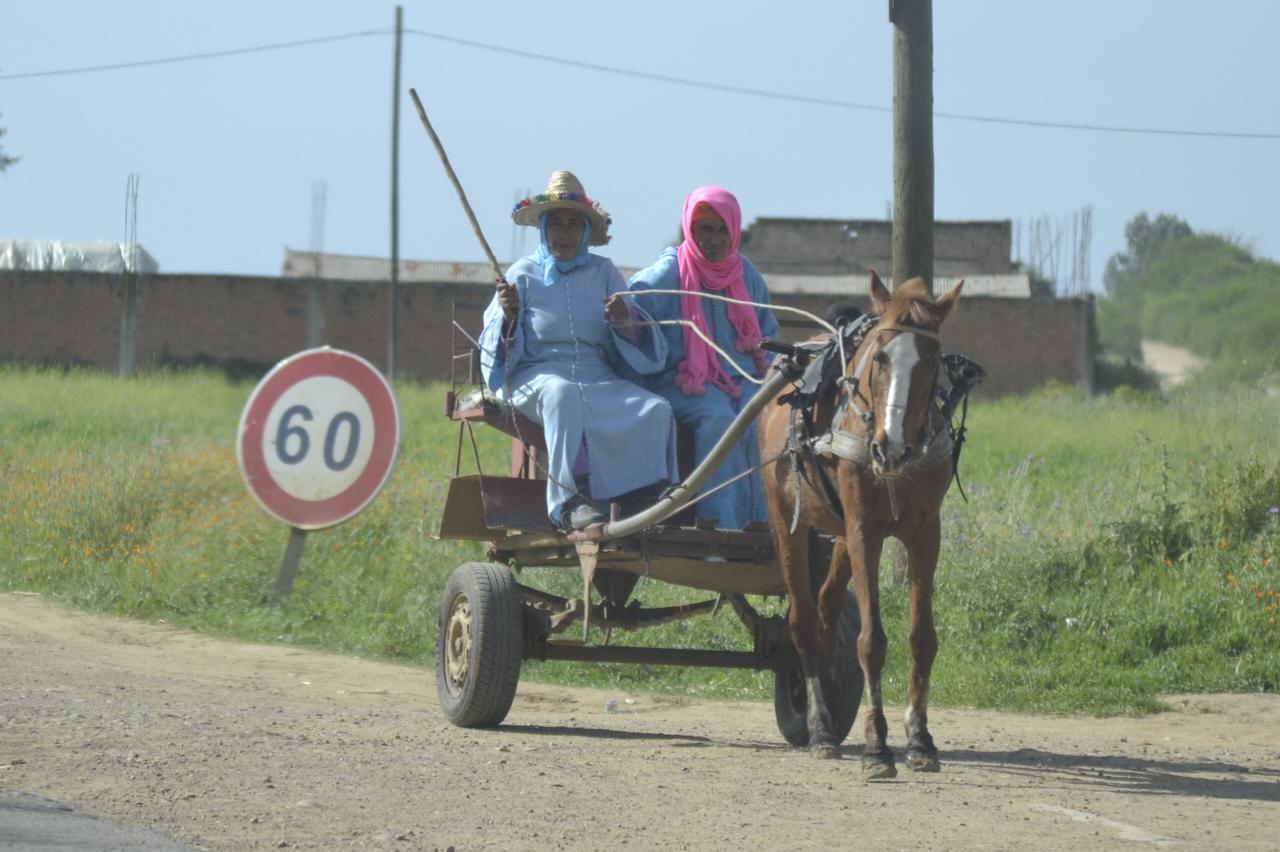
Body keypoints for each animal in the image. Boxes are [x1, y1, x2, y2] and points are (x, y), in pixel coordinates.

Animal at [757, 269, 962, 777]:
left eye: (931, 360)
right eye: (881, 355)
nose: (891, 448)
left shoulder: (926, 533)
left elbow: (922, 638)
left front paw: (920, 739)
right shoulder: (865, 529)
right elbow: (871, 642)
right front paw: (877, 747)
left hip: (840, 534)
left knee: (827, 608)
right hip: (789, 524)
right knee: (803, 622)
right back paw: (821, 728)